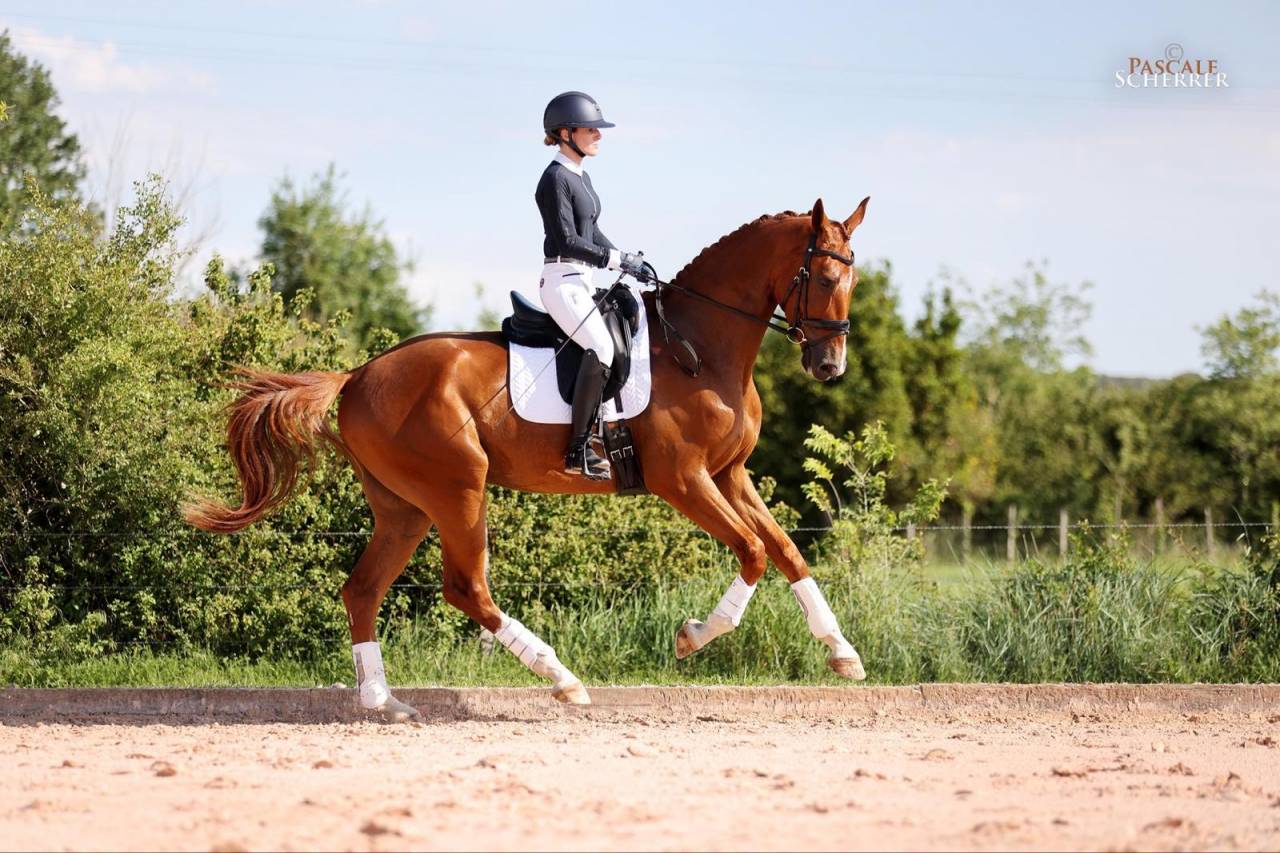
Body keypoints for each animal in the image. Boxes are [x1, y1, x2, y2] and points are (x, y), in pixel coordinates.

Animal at [185, 196, 871, 721]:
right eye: (824, 279)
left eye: (854, 280)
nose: (830, 366)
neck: (701, 348)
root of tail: (355, 377)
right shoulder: (683, 479)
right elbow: (753, 551)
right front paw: (691, 638)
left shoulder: (729, 474)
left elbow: (786, 551)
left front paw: (842, 652)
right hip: (459, 489)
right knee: (466, 588)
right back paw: (562, 677)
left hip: (405, 507)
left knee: (362, 590)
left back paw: (385, 702)